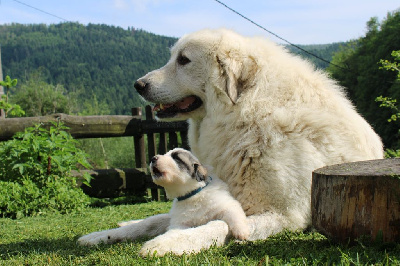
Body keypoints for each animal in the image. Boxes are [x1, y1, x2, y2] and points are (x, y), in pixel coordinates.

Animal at [77, 28, 382, 256]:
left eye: (184, 60)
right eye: (173, 57)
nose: (139, 85)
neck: (247, 115)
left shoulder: (283, 215)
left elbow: (218, 225)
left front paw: (169, 242)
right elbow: (155, 220)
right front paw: (103, 235)